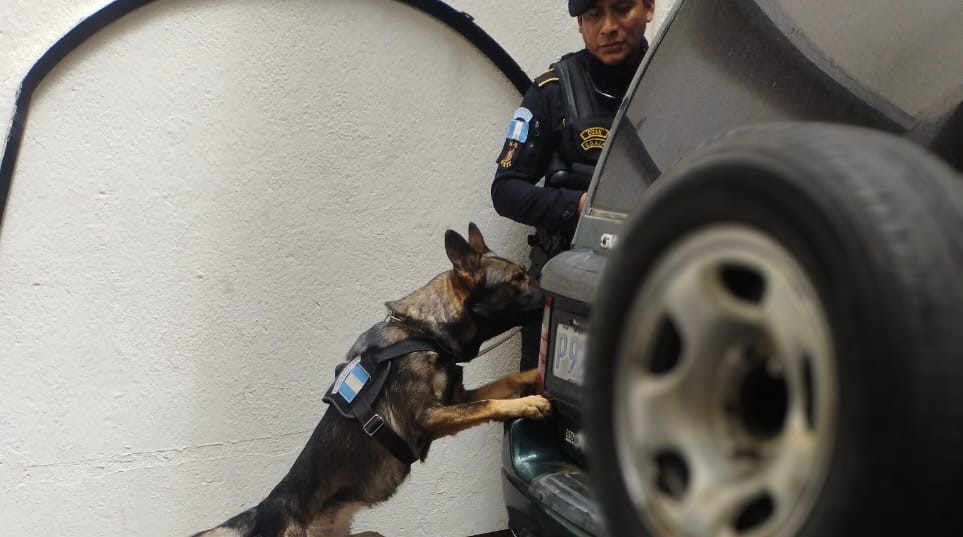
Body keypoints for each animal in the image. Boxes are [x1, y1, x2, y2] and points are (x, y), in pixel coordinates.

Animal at [194, 223, 548, 536]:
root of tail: (265, 510)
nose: (549, 295)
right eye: (517, 279)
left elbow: (503, 385)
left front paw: (533, 377)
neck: (424, 331)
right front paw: (529, 404)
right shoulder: (428, 417)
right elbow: (490, 402)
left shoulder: (457, 401)